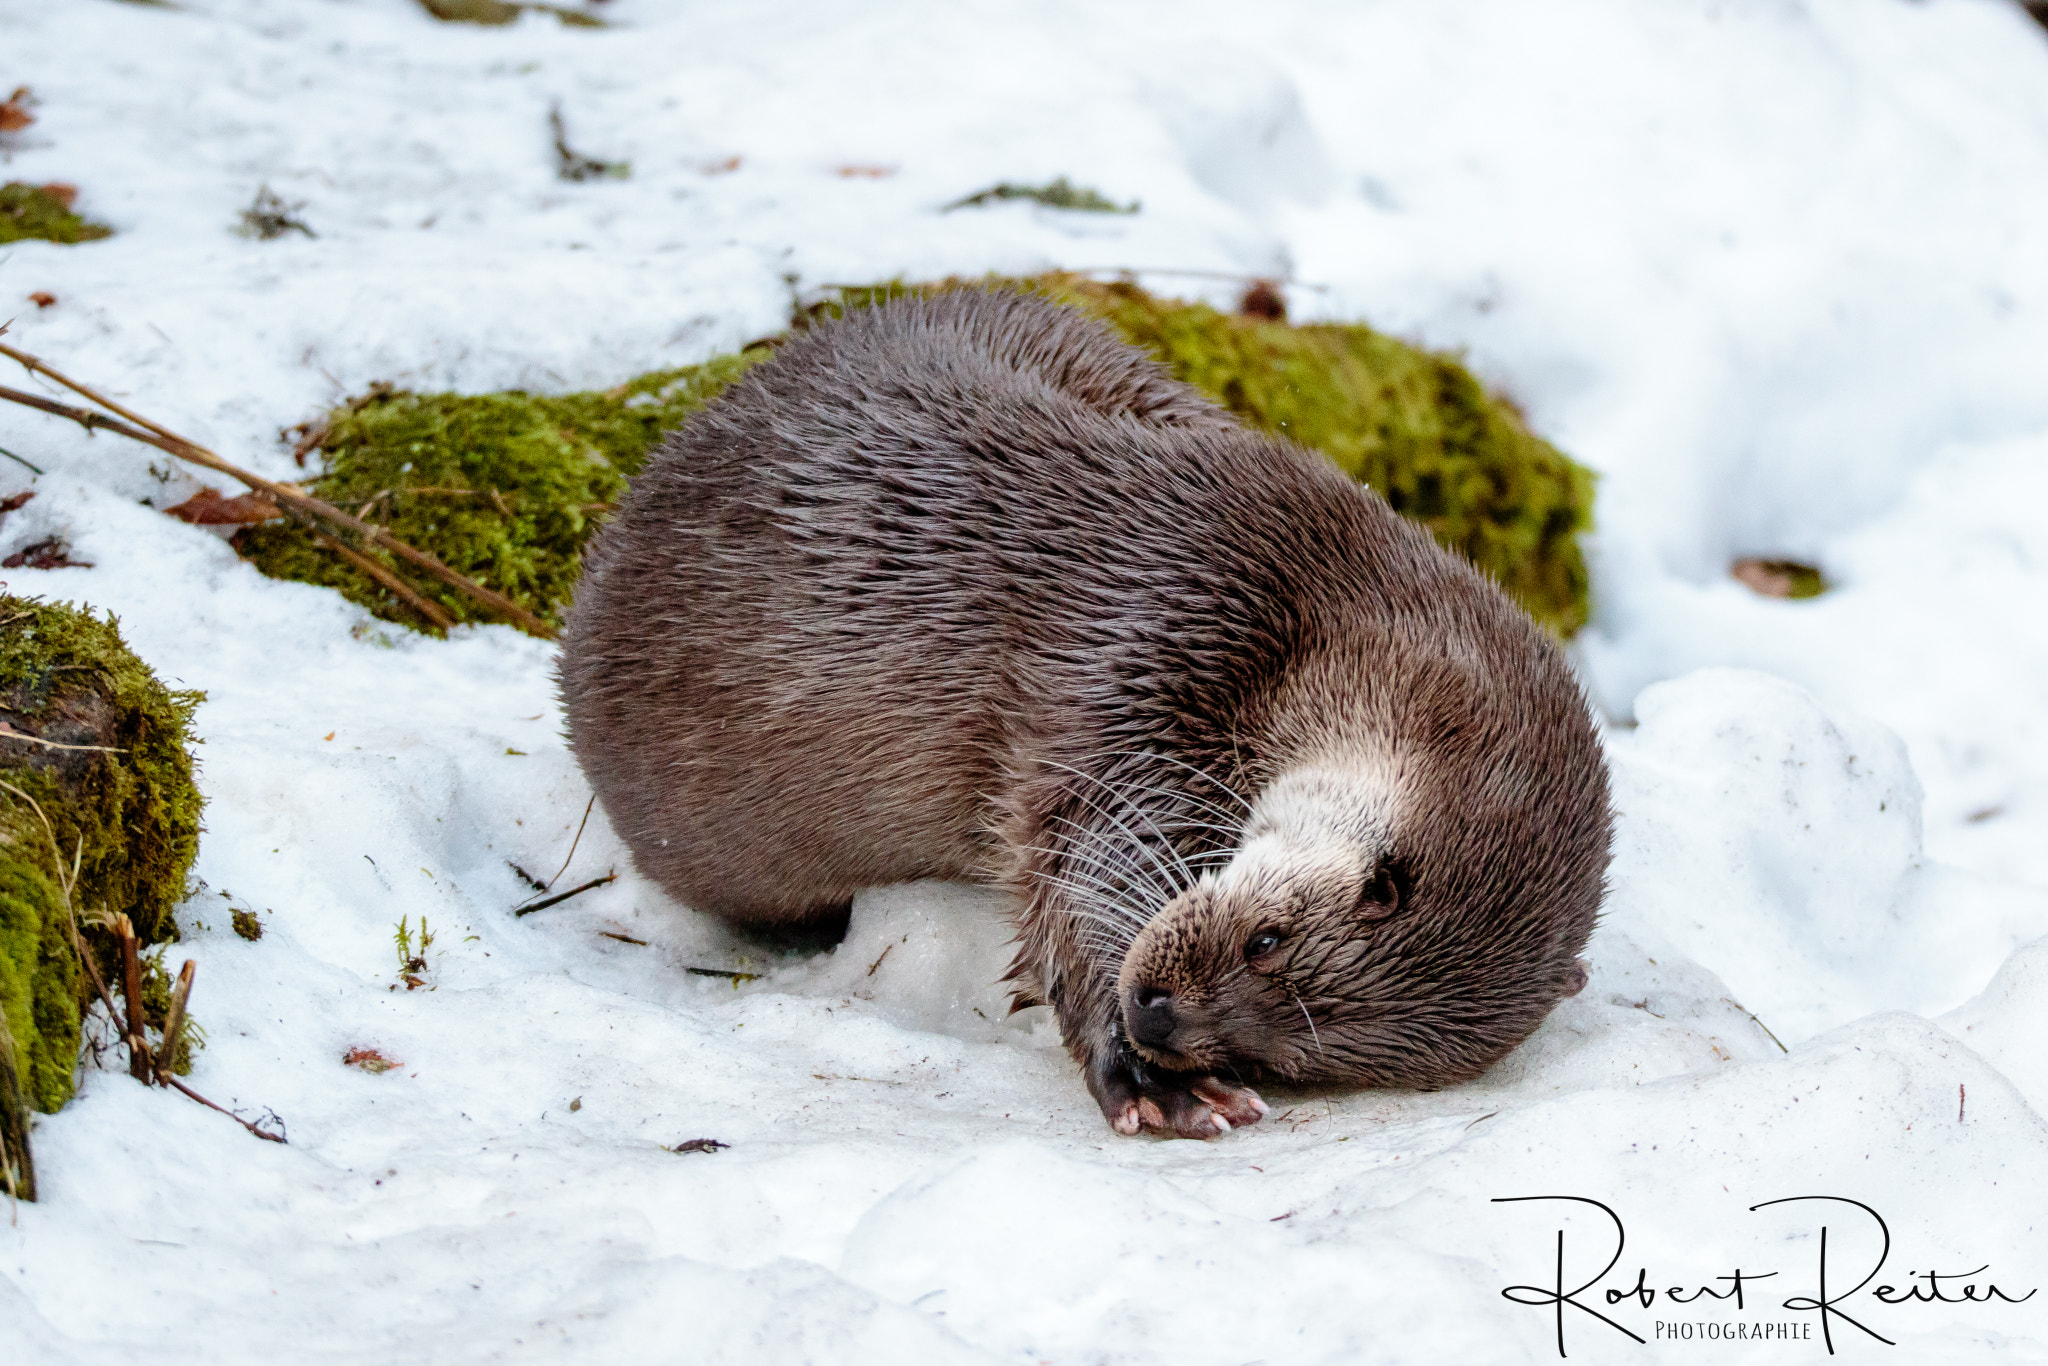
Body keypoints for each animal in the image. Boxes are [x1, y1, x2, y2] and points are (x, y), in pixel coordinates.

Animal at [560, 289, 1610, 1139]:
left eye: (1281, 1054)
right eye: (1267, 941)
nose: (1157, 1016)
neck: (1317, 609)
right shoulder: (1138, 653)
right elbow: (1082, 854)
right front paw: (1139, 1070)